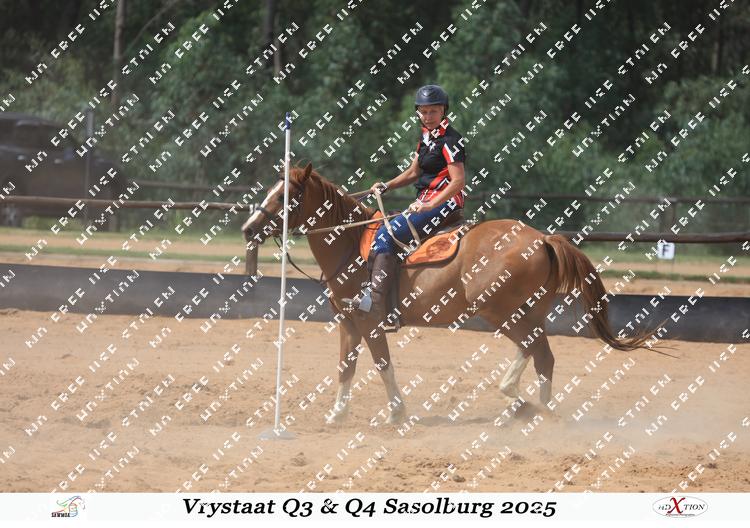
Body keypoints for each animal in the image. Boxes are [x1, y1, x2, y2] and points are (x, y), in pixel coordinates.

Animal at [242, 163, 656, 425]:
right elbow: (347, 366)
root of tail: (542, 238)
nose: (248, 228)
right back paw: (536, 407)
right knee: (542, 355)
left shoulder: (369, 320)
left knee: (535, 350)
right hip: (527, 311)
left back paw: (523, 401)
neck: (349, 245)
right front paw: (336, 415)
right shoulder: (348, 322)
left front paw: (396, 413)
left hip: (499, 310)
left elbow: (382, 365)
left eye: (285, 196)